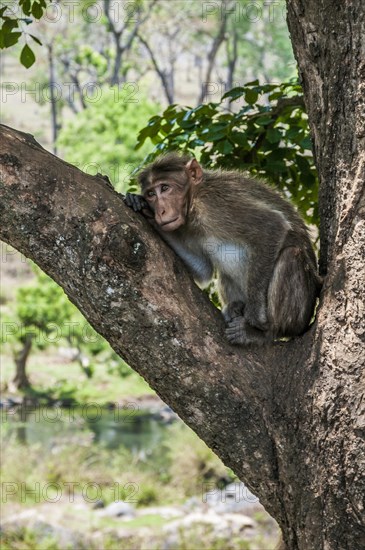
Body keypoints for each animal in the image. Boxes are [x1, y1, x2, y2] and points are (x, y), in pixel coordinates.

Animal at [125, 153, 322, 348]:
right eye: (151, 194)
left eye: (165, 188)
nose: (161, 211)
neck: (193, 201)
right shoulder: (186, 228)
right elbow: (203, 270)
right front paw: (144, 210)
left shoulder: (215, 204)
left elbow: (272, 227)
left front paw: (255, 317)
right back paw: (235, 307)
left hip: (300, 316)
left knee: (291, 255)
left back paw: (265, 333)